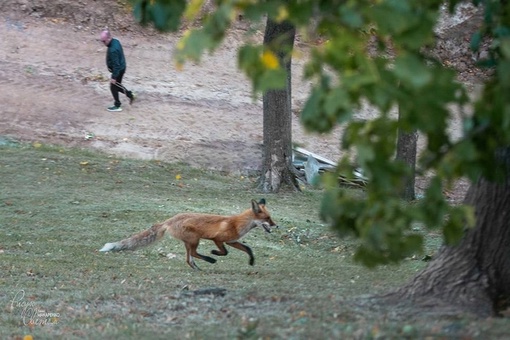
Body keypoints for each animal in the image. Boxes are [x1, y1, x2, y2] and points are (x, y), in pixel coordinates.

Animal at [98, 198, 276, 270]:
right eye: (267, 218)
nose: (277, 225)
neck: (237, 223)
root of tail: (169, 220)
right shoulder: (218, 239)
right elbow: (224, 252)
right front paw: (214, 252)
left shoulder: (232, 241)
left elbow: (248, 249)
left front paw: (252, 261)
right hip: (195, 240)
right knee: (194, 255)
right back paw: (210, 259)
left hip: (189, 242)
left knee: (189, 259)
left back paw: (199, 267)